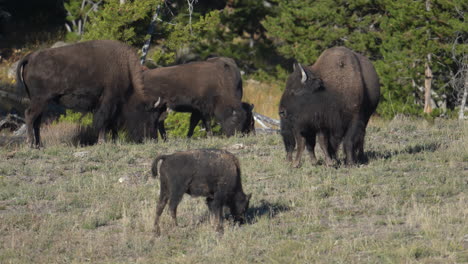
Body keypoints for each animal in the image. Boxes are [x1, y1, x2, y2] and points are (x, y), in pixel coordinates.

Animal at [15, 39, 161, 147]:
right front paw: (102, 141)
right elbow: (104, 121)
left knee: (37, 121)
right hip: (40, 100)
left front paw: (112, 140)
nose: (152, 138)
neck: (125, 66)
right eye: (148, 115)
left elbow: (110, 122)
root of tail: (30, 57)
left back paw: (39, 145)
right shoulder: (108, 100)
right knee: (29, 115)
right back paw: (30, 144)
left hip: (41, 102)